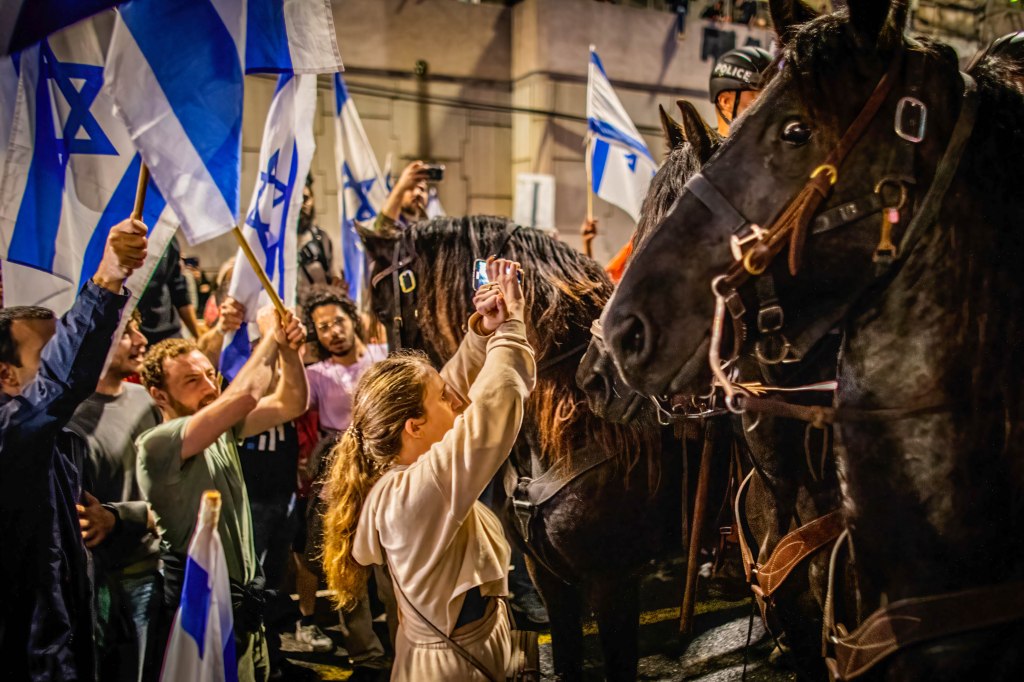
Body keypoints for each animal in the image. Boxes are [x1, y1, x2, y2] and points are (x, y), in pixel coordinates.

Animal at [358, 218, 679, 679]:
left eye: (383, 311)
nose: (384, 371)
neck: (581, 424)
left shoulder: (614, 583)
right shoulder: (547, 577)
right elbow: (565, 655)